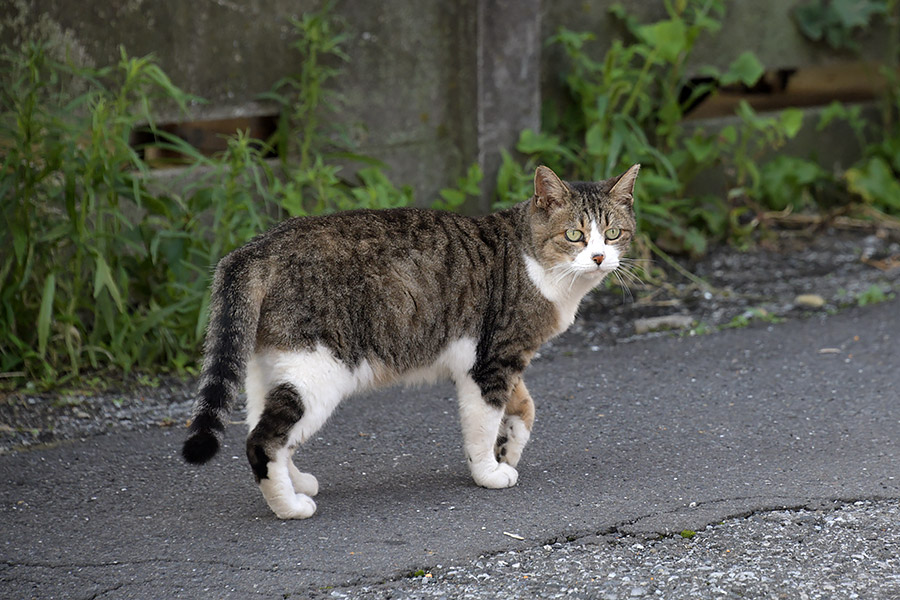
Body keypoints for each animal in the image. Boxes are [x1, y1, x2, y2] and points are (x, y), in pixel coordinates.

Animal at [179, 162, 636, 516]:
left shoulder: (501, 359)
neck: (534, 262)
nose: (599, 257)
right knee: (262, 439)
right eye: (574, 236)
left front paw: (509, 449)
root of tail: (256, 249)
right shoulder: (492, 361)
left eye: (613, 234)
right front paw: (488, 471)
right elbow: (483, 421)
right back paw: (290, 507)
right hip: (318, 370)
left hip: (271, 366)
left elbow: (524, 407)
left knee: (268, 426)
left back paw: (296, 484)